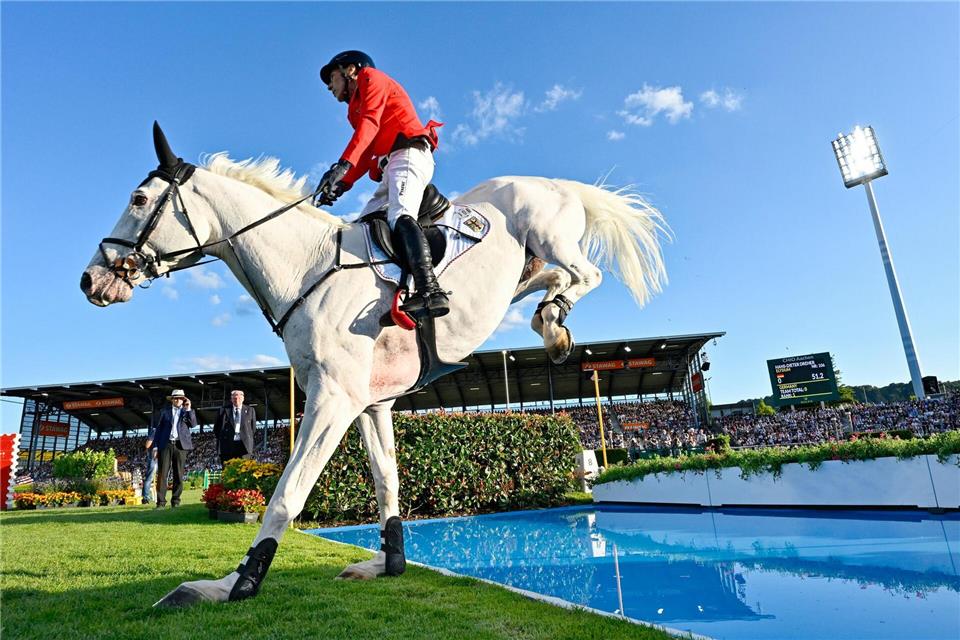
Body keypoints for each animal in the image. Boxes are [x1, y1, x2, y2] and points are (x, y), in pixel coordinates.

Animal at [80, 123, 668, 606]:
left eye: (138, 198)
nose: (91, 281)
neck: (307, 270)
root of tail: (554, 182)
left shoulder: (332, 401)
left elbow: (287, 494)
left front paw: (238, 583)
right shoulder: (370, 404)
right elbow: (387, 480)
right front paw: (390, 563)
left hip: (549, 235)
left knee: (584, 273)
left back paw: (553, 322)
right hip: (524, 270)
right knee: (551, 278)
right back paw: (551, 320)